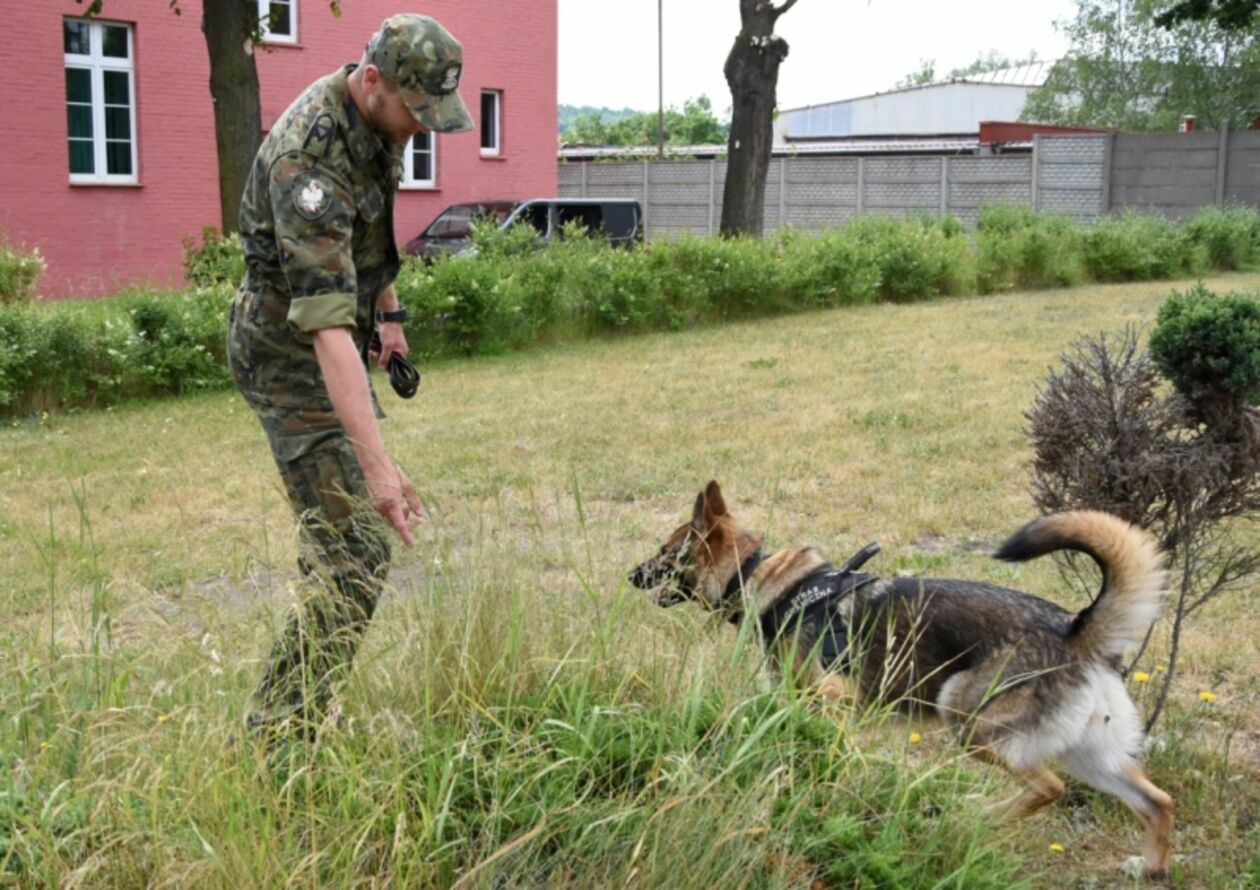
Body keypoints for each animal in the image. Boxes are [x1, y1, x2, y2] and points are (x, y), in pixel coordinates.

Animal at [635, 479, 1174, 872]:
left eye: (664, 551)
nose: (630, 576)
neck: (759, 578)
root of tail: (1075, 631)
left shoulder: (836, 697)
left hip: (964, 718)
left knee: (1050, 788)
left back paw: (978, 818)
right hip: (1088, 755)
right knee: (1156, 801)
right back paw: (1149, 868)